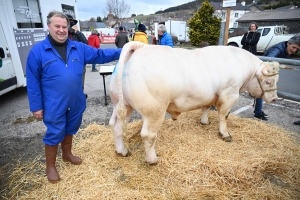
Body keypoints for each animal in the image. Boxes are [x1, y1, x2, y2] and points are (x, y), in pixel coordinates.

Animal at [109, 41, 280, 164]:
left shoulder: (209, 95)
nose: (274, 99)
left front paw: (204, 121)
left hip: (124, 106)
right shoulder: (229, 94)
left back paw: (122, 151)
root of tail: (141, 47)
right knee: (148, 135)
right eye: (269, 82)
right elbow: (224, 116)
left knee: (116, 127)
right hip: (154, 111)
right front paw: (225, 134)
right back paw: (152, 160)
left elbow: (206, 106)